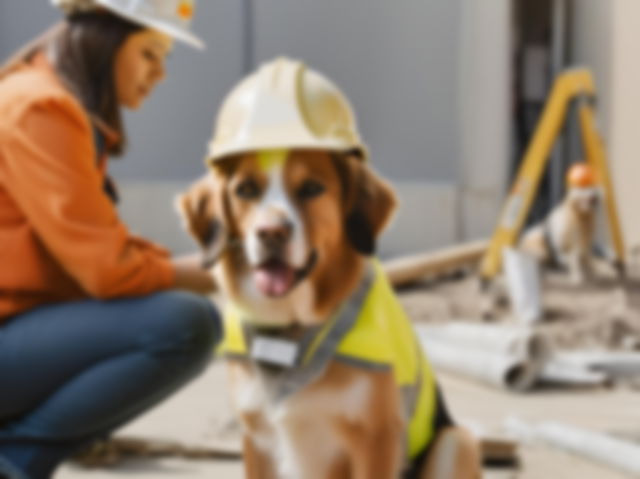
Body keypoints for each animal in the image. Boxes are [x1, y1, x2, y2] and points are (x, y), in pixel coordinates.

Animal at [178, 148, 482, 478]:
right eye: (245, 189)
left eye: (312, 188)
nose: (270, 232)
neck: (293, 327)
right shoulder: (256, 438)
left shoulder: (375, 438)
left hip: (457, 440)